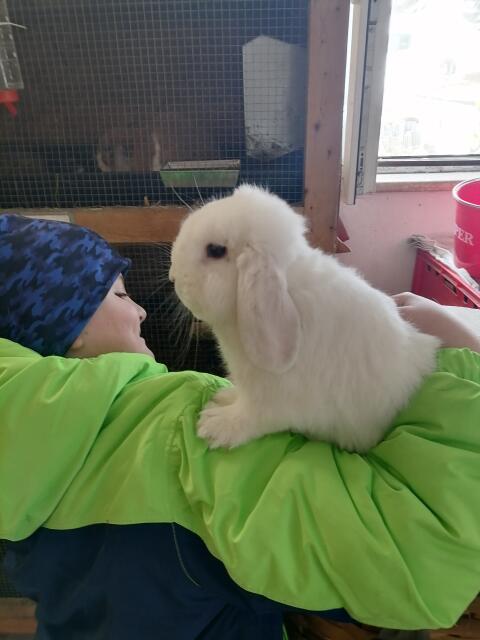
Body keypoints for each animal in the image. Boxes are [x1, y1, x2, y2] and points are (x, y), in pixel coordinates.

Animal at [169, 185, 440, 452]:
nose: (173, 276)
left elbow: (252, 417)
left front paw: (215, 425)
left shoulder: (273, 401)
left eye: (215, 250)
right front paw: (224, 398)